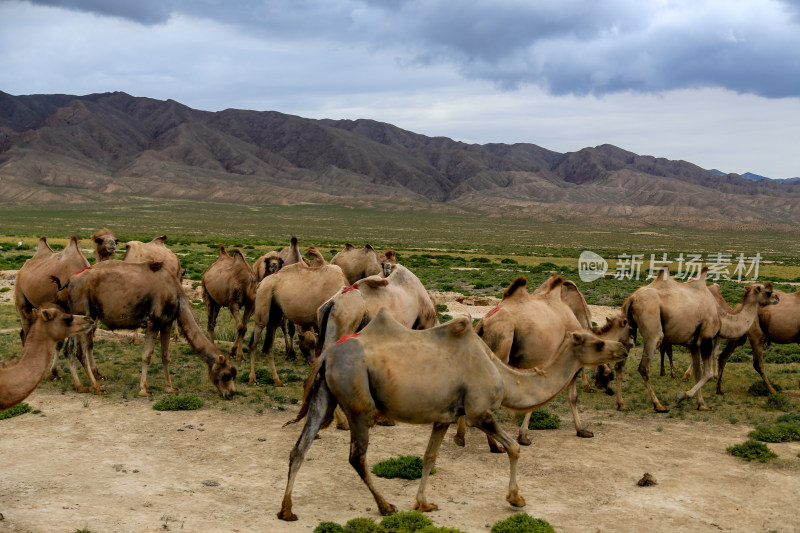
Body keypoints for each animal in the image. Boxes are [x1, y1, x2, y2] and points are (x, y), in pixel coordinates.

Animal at [53, 260, 238, 396]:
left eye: (233, 374)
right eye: (226, 375)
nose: (231, 394)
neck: (177, 295)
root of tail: (70, 281)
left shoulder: (167, 321)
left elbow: (165, 355)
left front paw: (170, 387)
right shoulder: (153, 321)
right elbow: (147, 355)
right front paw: (144, 389)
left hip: (77, 315)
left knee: (70, 350)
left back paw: (80, 386)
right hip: (85, 312)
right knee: (81, 351)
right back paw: (97, 387)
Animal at [278, 308, 628, 520]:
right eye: (597, 343)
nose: (622, 349)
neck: (503, 376)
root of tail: (326, 357)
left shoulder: (444, 417)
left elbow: (429, 457)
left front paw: (423, 503)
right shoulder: (478, 412)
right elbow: (514, 448)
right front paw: (516, 499)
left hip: (325, 394)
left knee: (299, 448)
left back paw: (287, 510)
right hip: (357, 401)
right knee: (357, 456)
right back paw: (386, 505)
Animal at [620, 266, 780, 412]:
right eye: (768, 292)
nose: (777, 298)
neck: (721, 317)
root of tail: (631, 299)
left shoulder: (695, 345)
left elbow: (698, 373)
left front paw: (702, 405)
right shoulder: (706, 338)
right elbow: (707, 374)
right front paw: (681, 396)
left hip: (628, 329)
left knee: (620, 364)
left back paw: (621, 404)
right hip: (653, 332)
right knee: (643, 367)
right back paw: (658, 405)